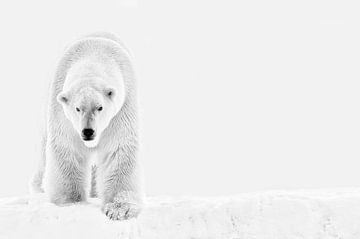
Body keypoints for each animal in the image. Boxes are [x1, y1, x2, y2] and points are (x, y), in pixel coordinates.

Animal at [29, 33, 144, 220]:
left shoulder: (122, 108)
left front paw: (119, 208)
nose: (88, 131)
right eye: (77, 108)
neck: (93, 55)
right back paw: (38, 188)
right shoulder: (62, 112)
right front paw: (71, 201)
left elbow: (118, 148)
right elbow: (67, 147)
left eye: (100, 107)